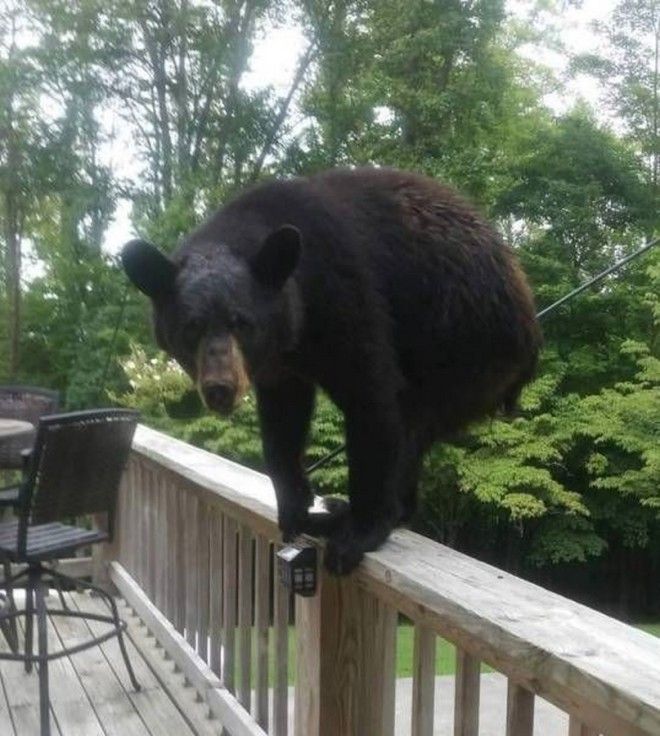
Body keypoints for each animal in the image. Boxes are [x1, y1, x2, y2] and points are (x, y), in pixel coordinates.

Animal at [122, 168, 540, 576]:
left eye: (242, 322)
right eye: (191, 328)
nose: (220, 387)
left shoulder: (346, 295)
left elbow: (371, 395)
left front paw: (359, 534)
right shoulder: (282, 363)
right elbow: (282, 420)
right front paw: (293, 508)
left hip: (461, 345)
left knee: (410, 423)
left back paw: (360, 514)